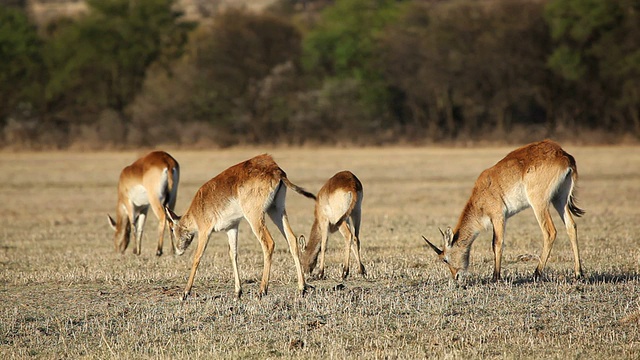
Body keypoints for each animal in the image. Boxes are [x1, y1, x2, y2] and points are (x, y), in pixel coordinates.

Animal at [164, 153, 316, 300]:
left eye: (172, 229)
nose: (177, 250)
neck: (197, 210)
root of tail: (276, 170)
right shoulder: (232, 227)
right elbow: (233, 254)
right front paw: (238, 292)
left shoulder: (204, 231)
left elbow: (197, 257)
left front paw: (185, 293)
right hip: (276, 210)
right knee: (292, 239)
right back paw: (302, 288)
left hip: (255, 217)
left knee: (269, 243)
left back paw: (262, 291)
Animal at [422, 140, 584, 282]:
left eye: (444, 259)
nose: (455, 276)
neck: (481, 195)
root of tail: (563, 155)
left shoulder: (498, 216)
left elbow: (496, 243)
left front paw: (496, 277)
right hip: (559, 199)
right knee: (571, 226)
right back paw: (578, 274)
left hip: (539, 203)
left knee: (550, 232)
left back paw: (537, 273)